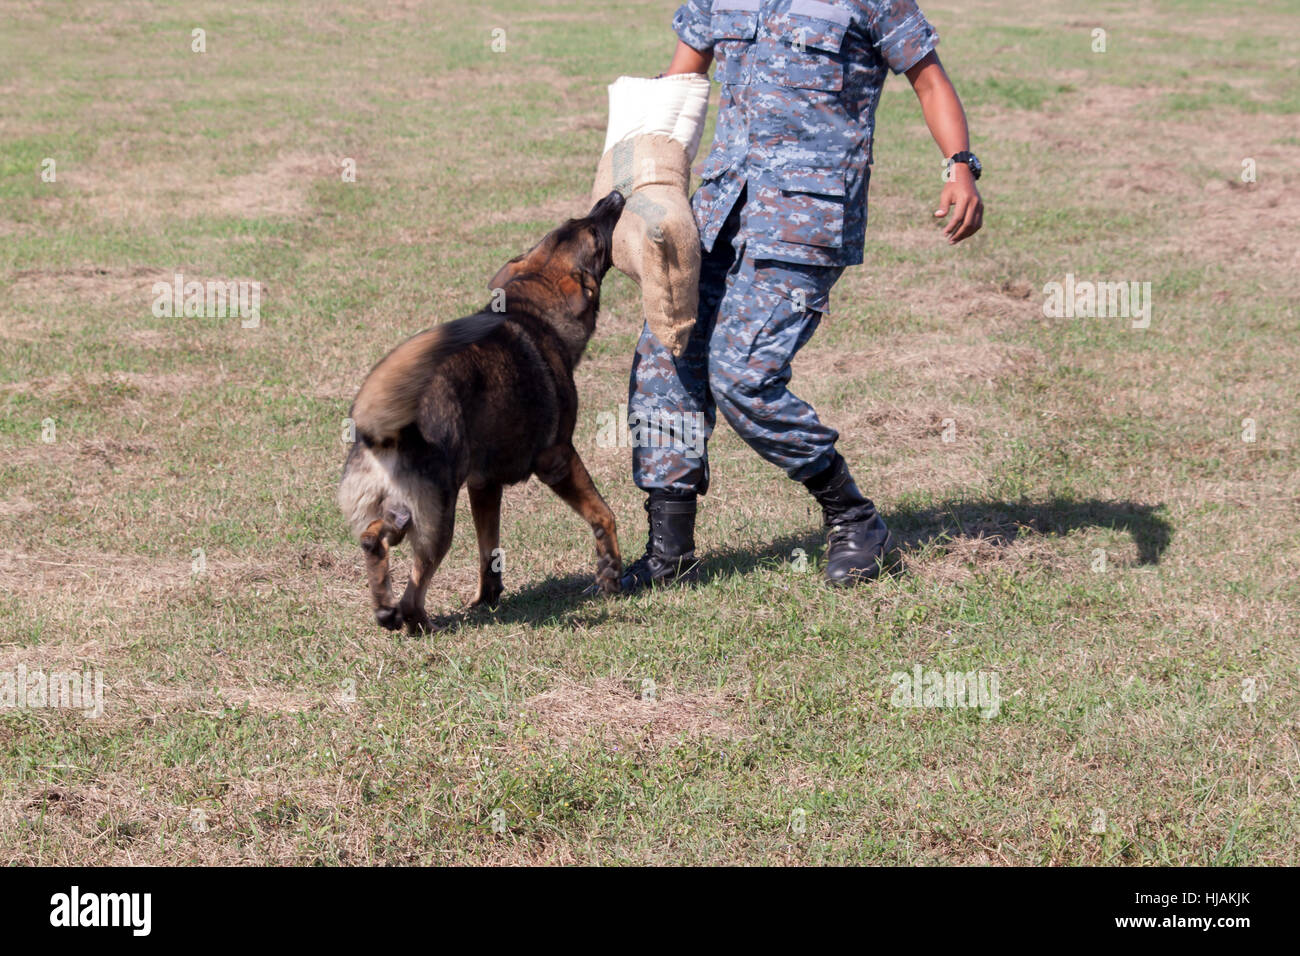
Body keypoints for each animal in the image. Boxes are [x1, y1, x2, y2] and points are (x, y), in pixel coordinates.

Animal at [338, 189, 626, 632]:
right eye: (595, 235)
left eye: (574, 221)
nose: (613, 196)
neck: (532, 307)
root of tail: (385, 433)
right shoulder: (558, 459)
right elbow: (603, 513)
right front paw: (610, 571)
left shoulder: (484, 486)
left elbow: (488, 548)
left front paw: (488, 597)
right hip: (439, 520)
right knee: (416, 585)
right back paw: (418, 622)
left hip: (407, 512)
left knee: (376, 537)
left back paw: (386, 608)